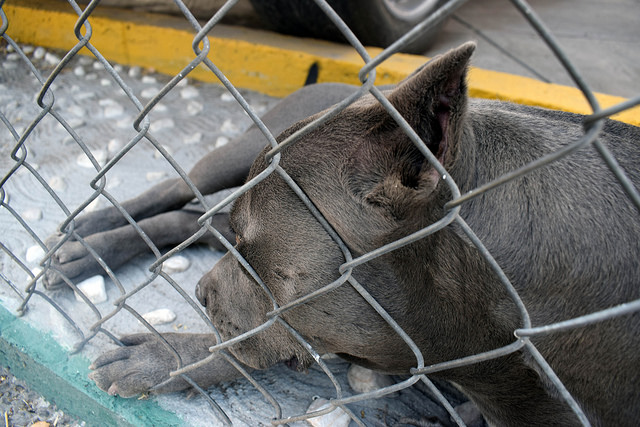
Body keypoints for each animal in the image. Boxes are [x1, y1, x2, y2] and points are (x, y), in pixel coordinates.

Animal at [47, 43, 639, 426]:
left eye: (254, 247)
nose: (198, 293)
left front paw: (166, 355)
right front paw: (168, 355)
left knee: (189, 219)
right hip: (240, 153)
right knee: (178, 188)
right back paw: (90, 232)